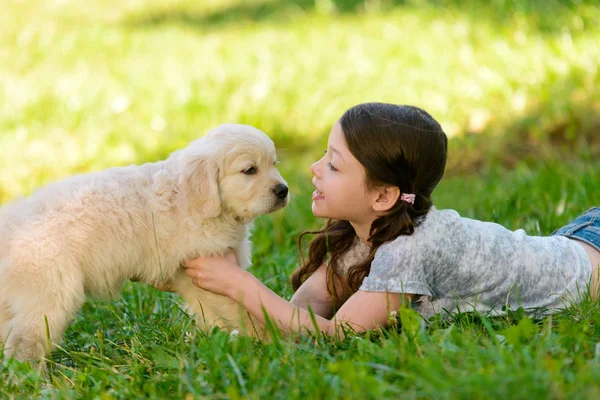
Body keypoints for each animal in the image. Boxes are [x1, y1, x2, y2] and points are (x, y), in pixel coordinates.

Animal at [0, 124, 288, 362]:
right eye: (250, 170)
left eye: (274, 163)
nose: (283, 190)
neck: (196, 200)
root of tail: (12, 224)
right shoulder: (210, 271)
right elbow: (240, 310)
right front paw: (268, 340)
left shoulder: (192, 277)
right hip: (50, 295)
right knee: (25, 341)